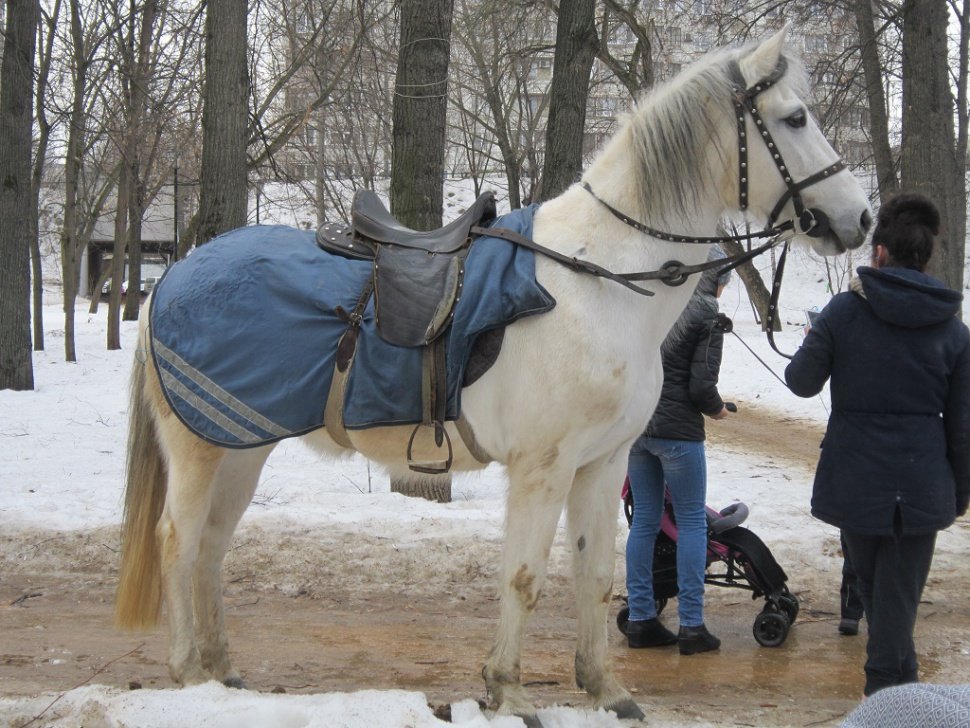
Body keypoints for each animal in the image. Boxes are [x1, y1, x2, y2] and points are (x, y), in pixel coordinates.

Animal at [115, 27, 868, 724]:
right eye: (795, 118)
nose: (858, 219)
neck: (601, 280)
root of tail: (169, 279)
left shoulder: (602, 466)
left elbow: (596, 576)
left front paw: (604, 689)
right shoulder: (542, 468)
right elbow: (525, 577)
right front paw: (507, 689)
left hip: (242, 447)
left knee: (212, 546)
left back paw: (222, 671)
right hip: (199, 448)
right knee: (179, 542)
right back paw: (189, 672)